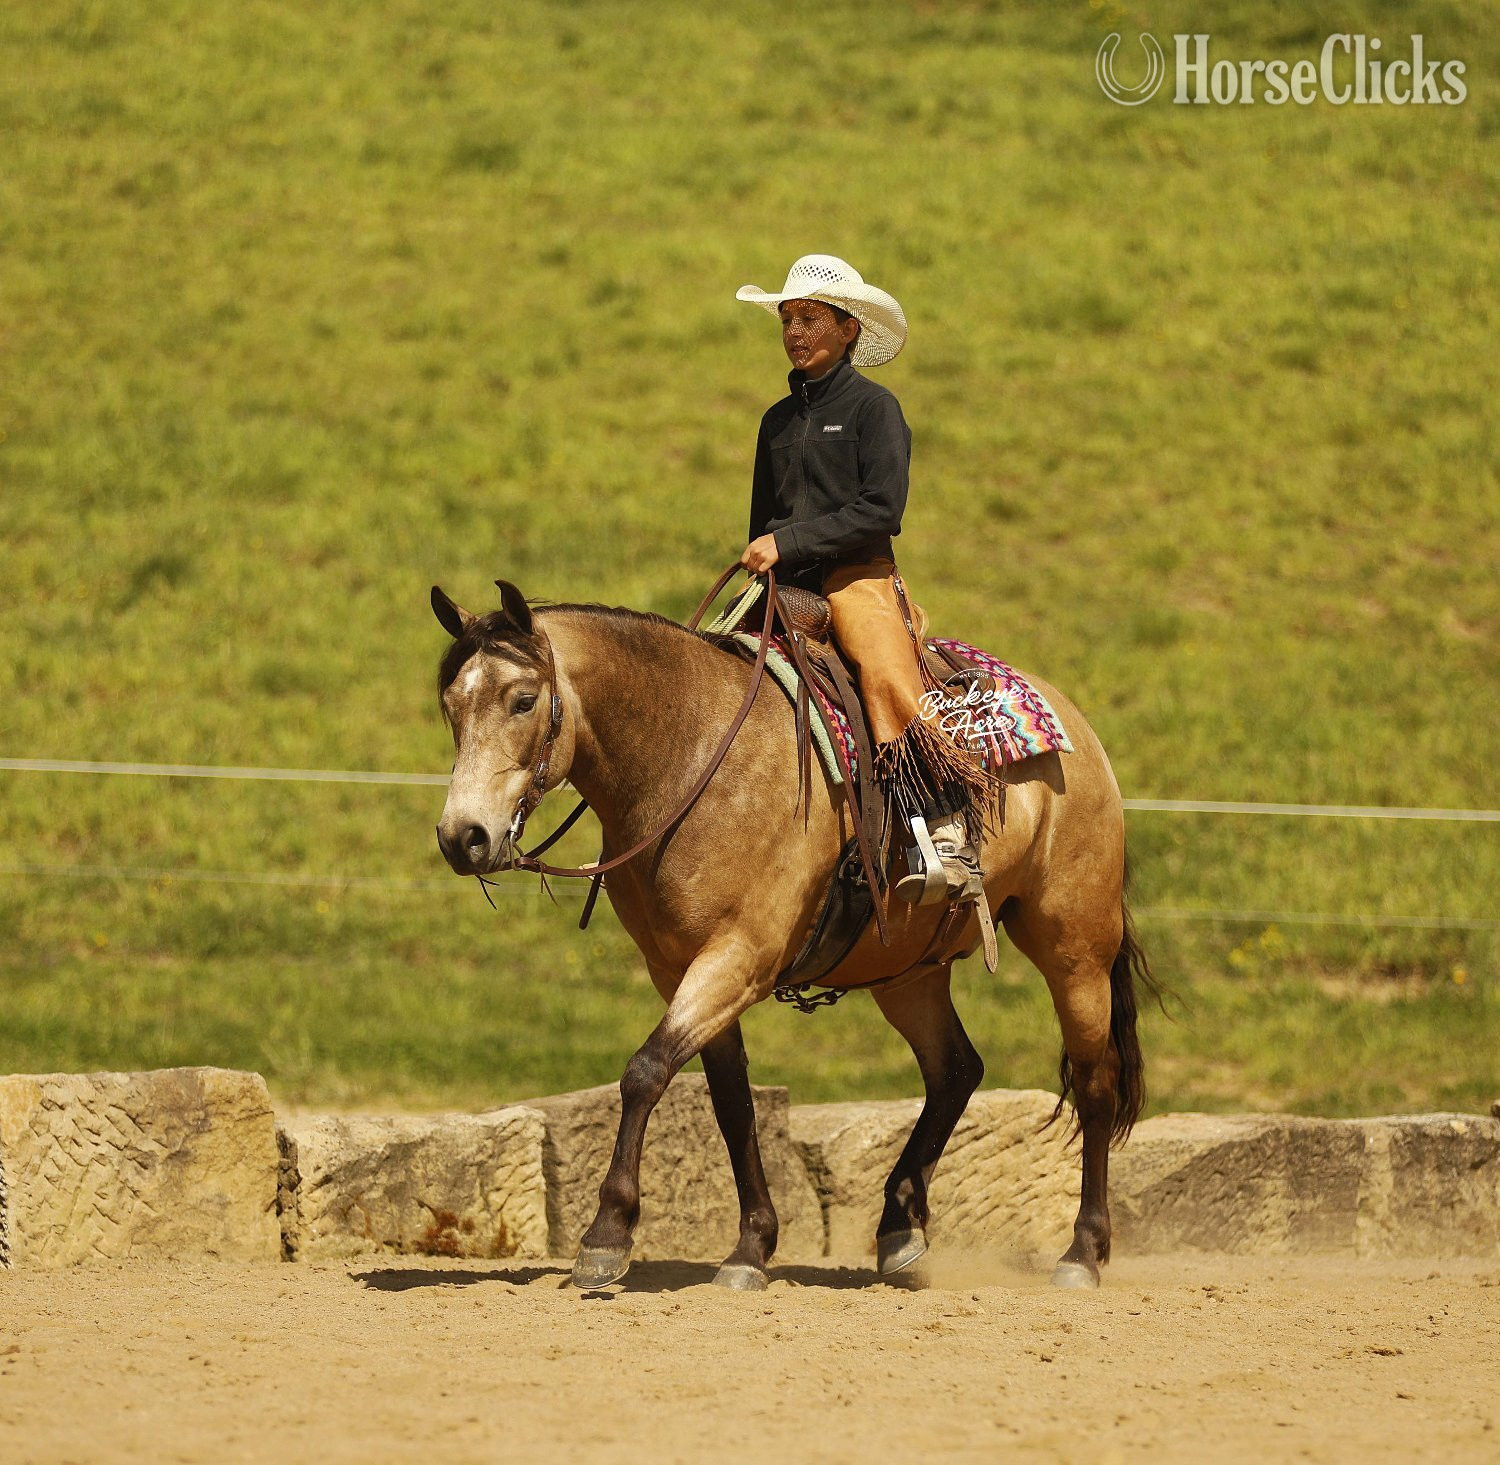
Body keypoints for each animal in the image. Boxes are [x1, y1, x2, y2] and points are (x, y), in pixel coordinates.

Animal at [430, 576, 1154, 1292]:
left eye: (523, 700)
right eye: (450, 705)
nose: (463, 837)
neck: (690, 756)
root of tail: (1078, 731)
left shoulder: (738, 958)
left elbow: (646, 1071)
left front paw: (606, 1235)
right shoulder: (679, 968)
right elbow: (731, 1104)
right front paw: (752, 1244)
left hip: (1075, 949)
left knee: (1094, 1085)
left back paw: (1082, 1252)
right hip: (907, 971)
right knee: (955, 1069)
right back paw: (900, 1224)